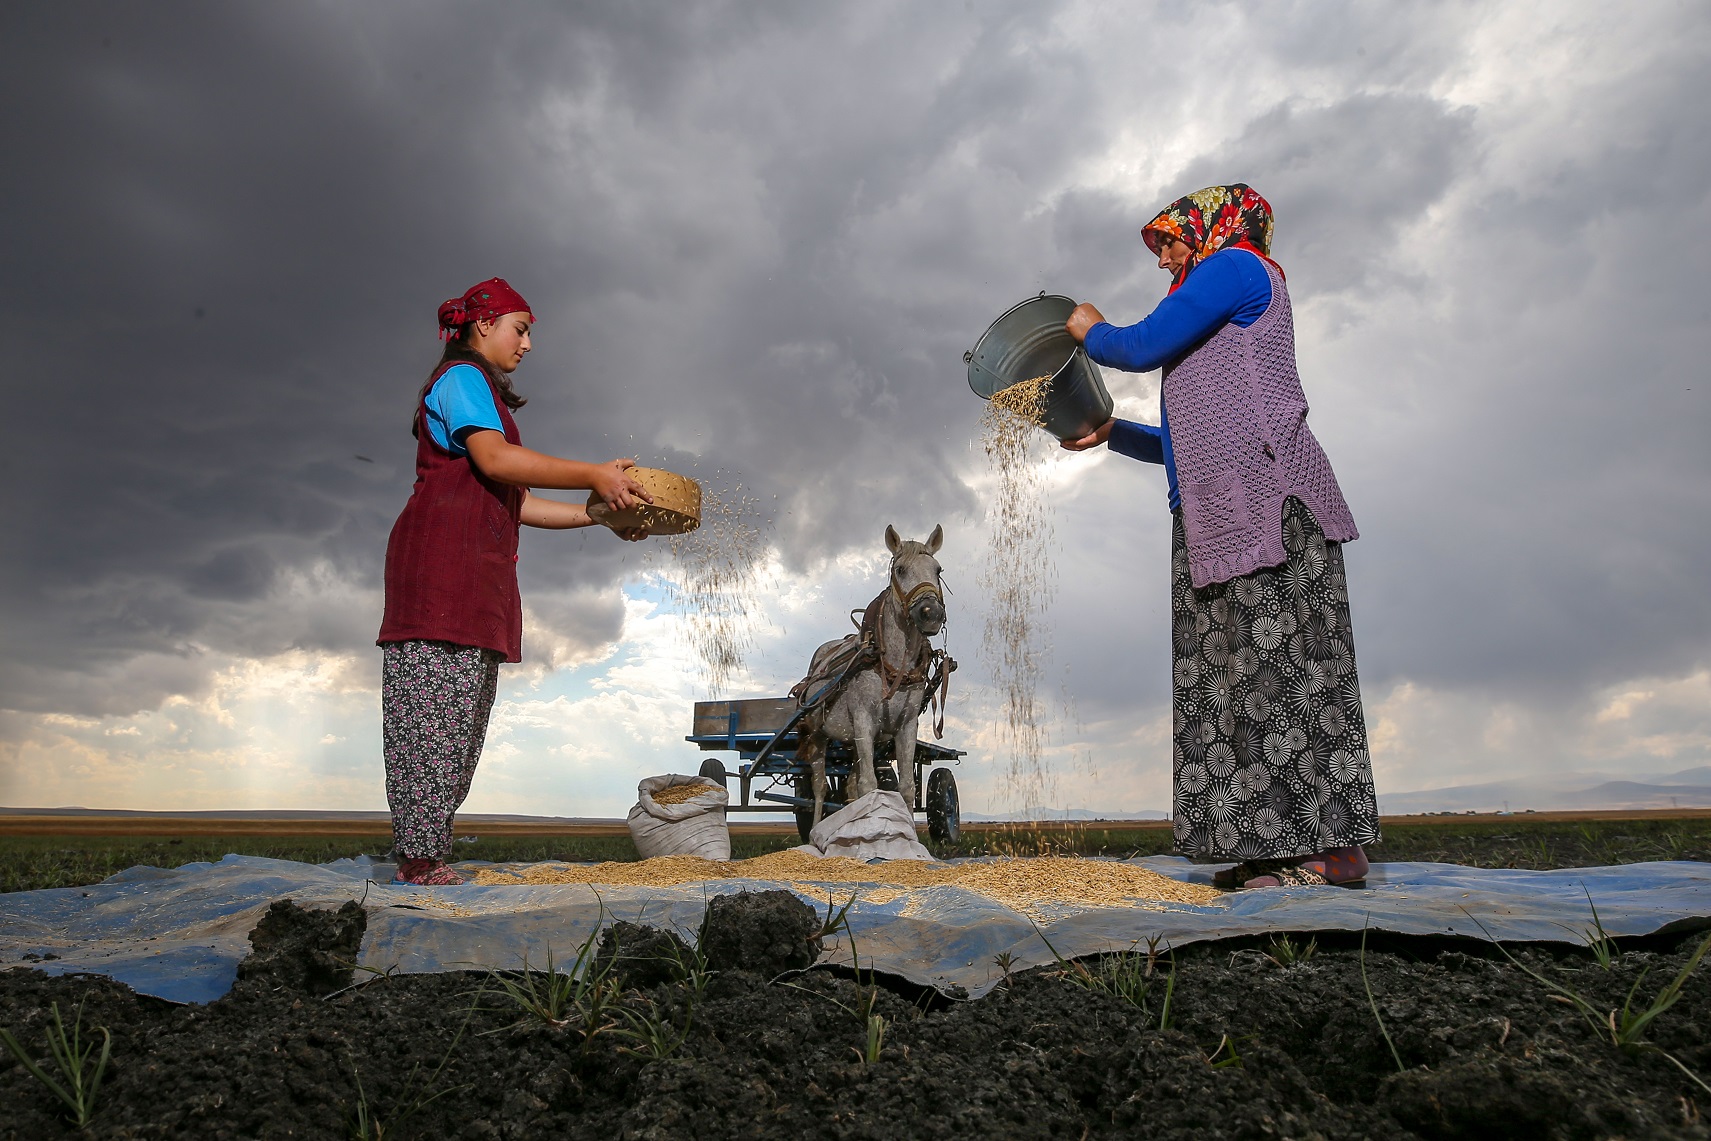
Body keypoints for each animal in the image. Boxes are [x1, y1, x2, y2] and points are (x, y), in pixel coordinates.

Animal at [790, 523, 951, 831]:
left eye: (938, 570)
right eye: (900, 569)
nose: (931, 613)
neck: (891, 665)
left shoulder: (906, 726)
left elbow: (906, 787)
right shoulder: (864, 720)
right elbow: (869, 784)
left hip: (851, 741)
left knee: (849, 786)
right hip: (818, 736)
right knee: (819, 787)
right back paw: (815, 829)